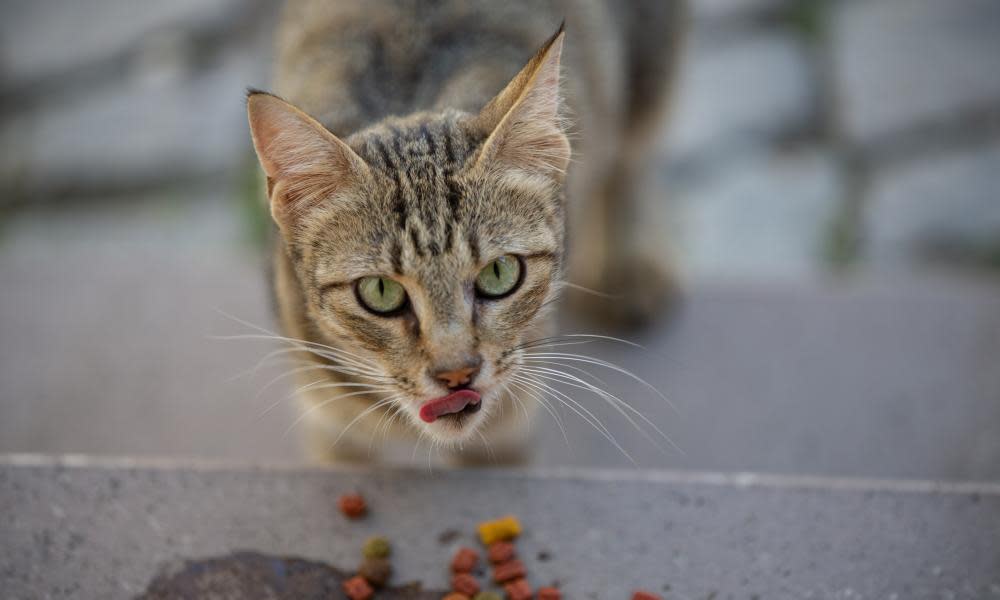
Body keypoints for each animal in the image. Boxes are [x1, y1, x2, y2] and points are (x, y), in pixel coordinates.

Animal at [248, 0, 688, 464]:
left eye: (500, 274)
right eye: (380, 292)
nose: (457, 373)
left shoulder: (507, 432)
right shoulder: (332, 429)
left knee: (631, 158)